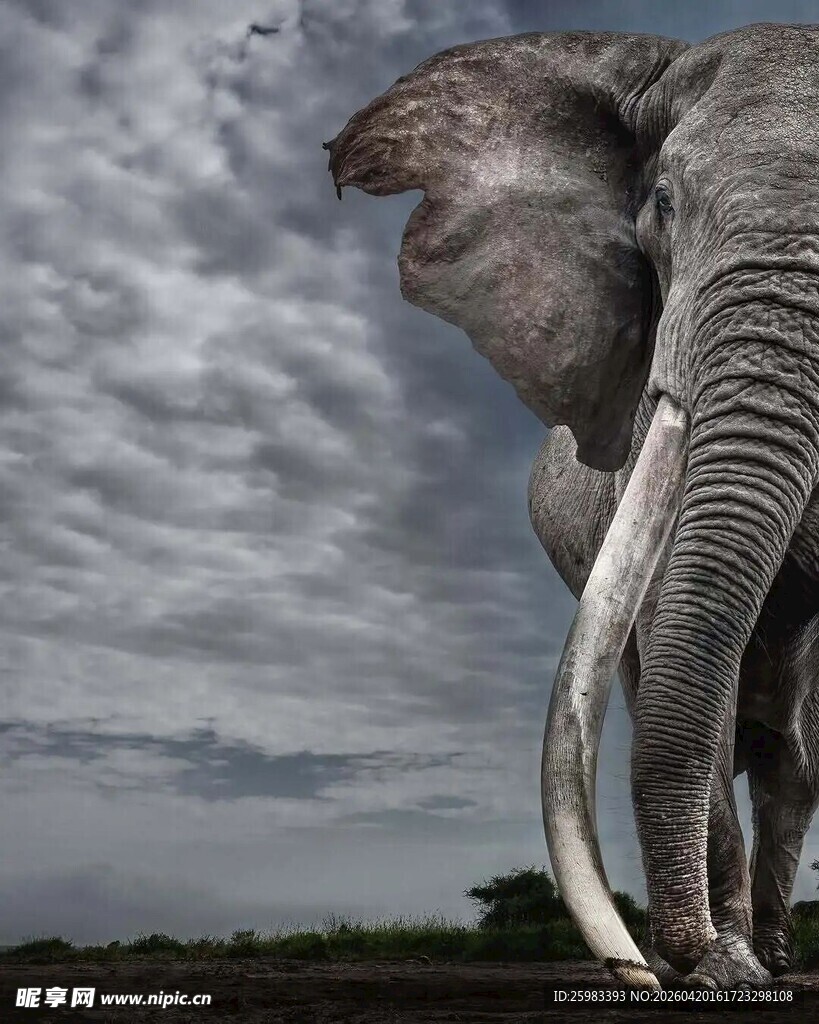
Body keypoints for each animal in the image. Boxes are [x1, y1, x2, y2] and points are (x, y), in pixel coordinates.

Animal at [324, 22, 819, 990]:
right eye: (661, 204)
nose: (664, 964)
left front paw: (736, 966)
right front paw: (721, 971)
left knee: (791, 762)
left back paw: (778, 960)